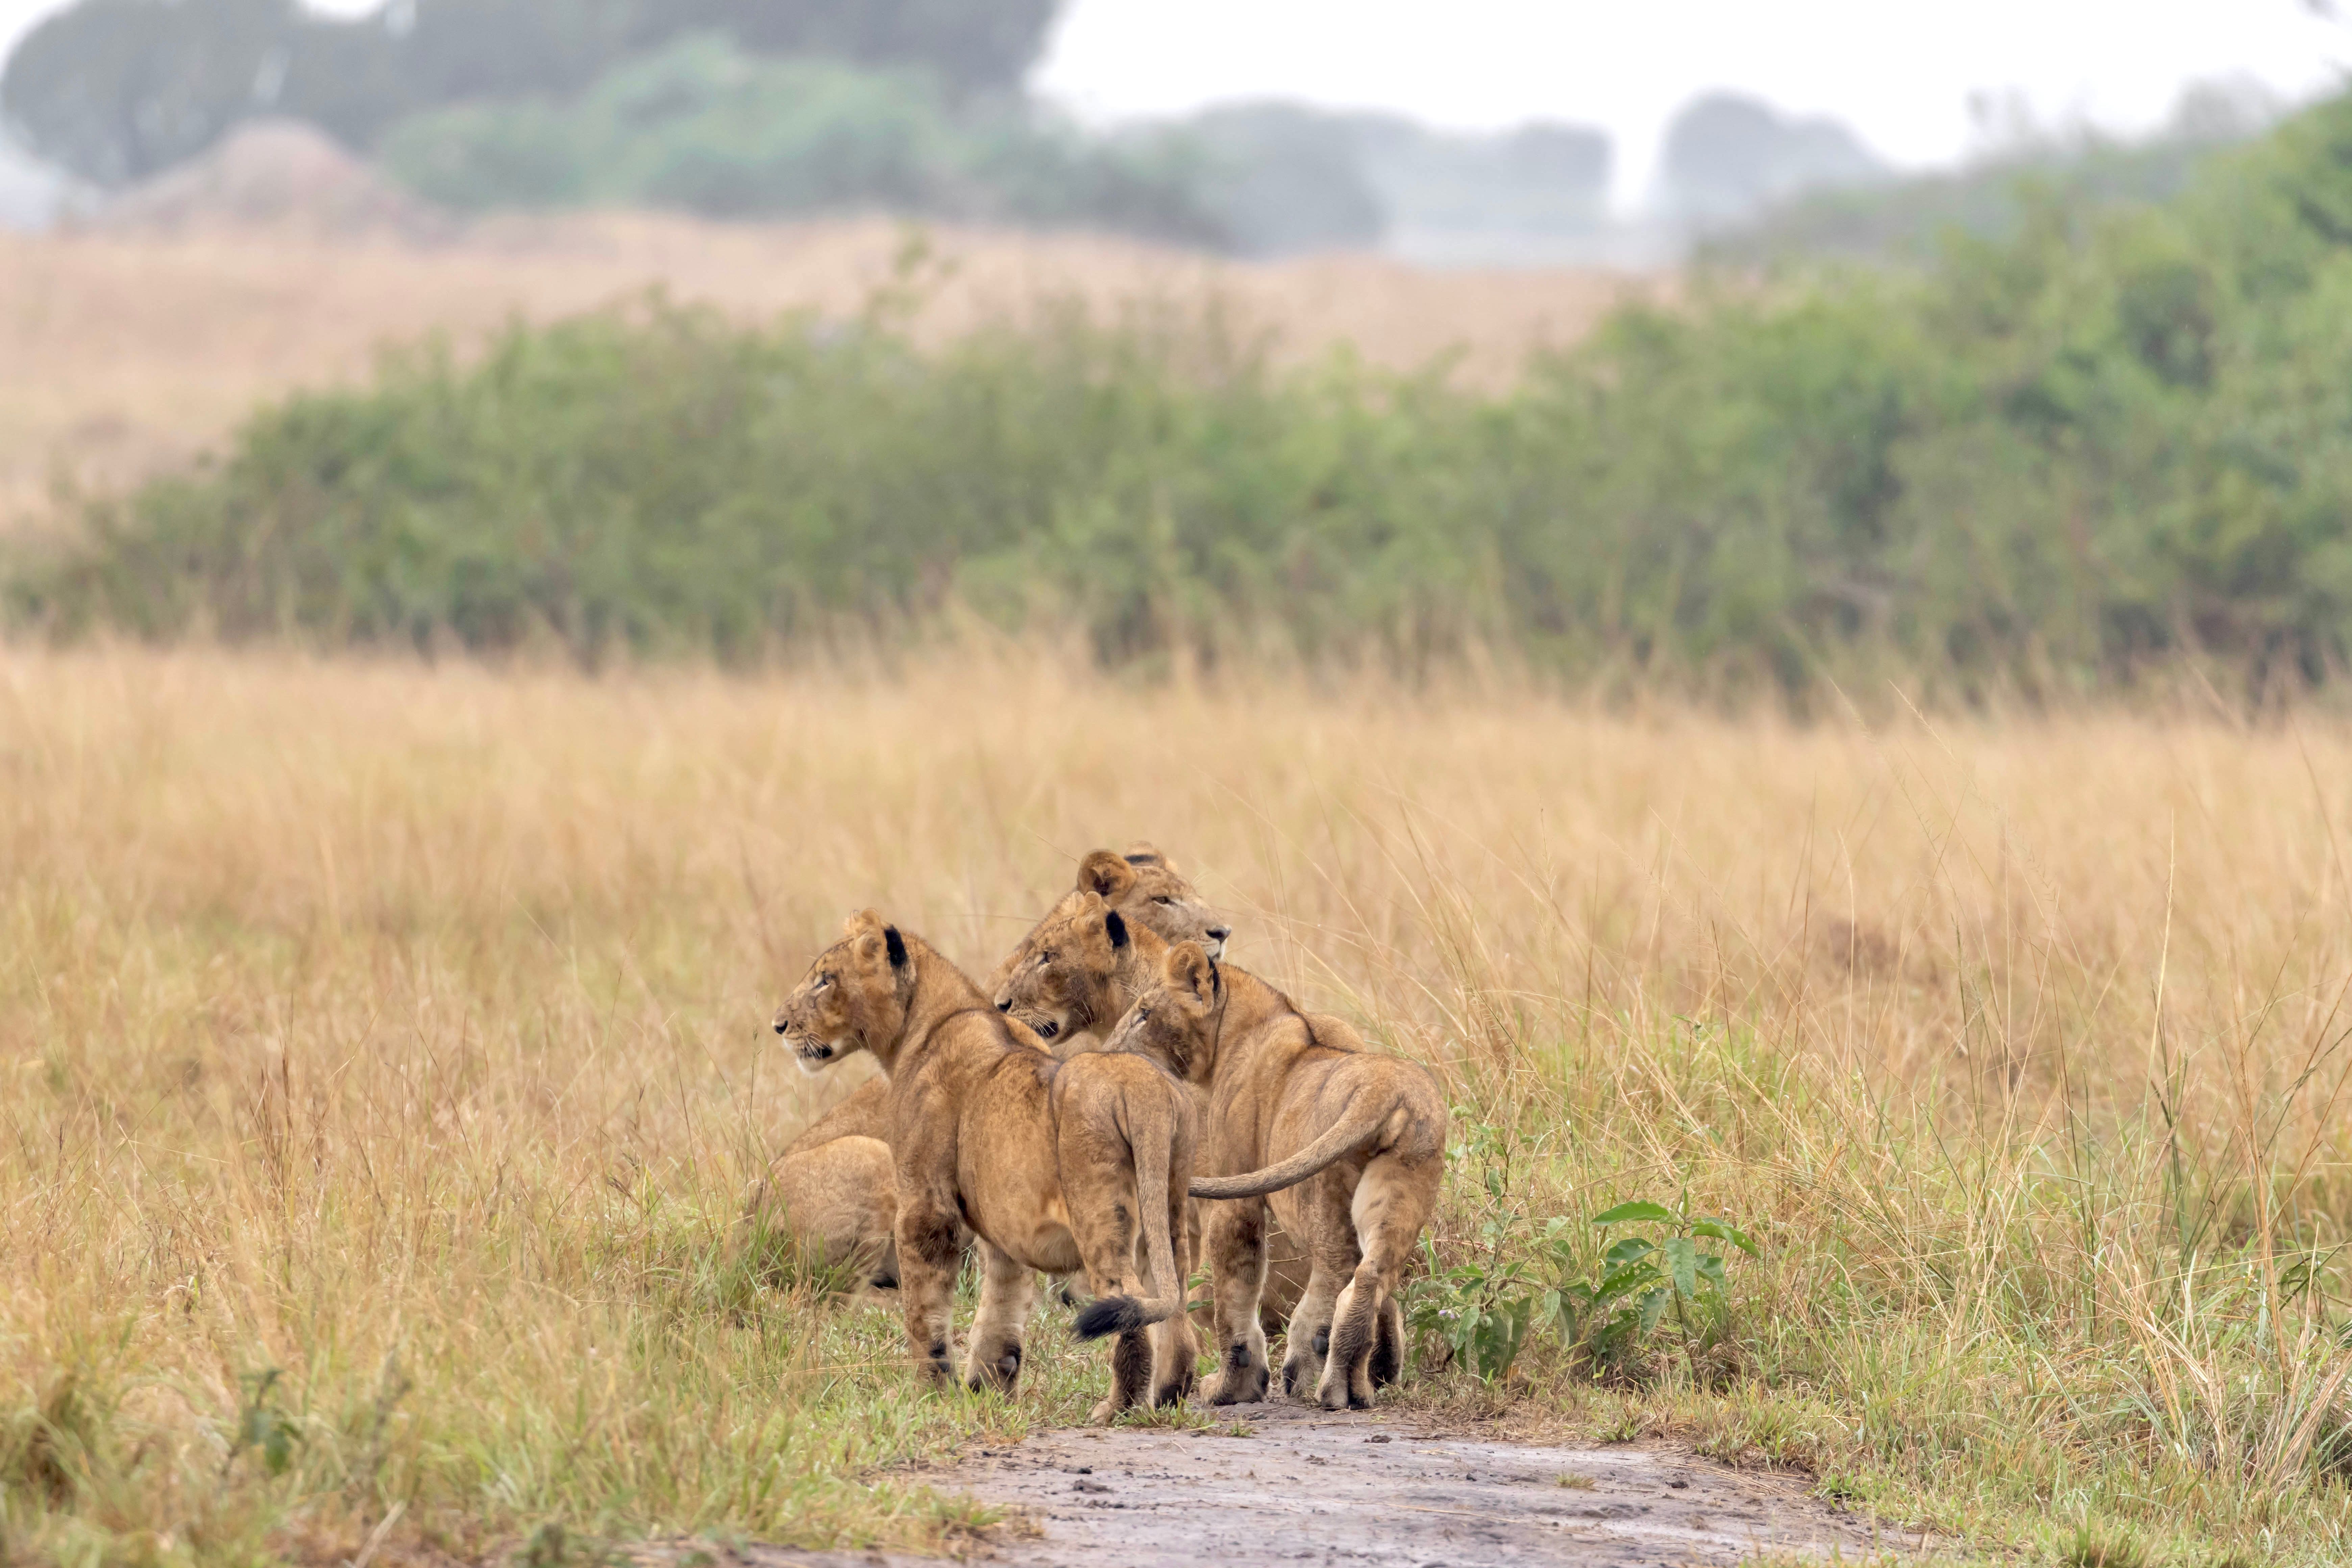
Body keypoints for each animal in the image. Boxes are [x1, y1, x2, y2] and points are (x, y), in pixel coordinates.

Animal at [771, 910, 1204, 1418]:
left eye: (825, 980)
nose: (779, 1025)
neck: (919, 1028)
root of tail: (1146, 1090)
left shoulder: (926, 1208)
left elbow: (925, 1314)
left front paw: (931, 1394)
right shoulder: (1004, 1226)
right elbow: (1000, 1313)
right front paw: (989, 1391)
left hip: (1102, 1219)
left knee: (1127, 1301)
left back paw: (1117, 1409)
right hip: (1168, 1216)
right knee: (1177, 1312)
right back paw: (1168, 1395)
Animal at [1006, 919, 1448, 1411]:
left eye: (1145, 1013)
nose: (1112, 1053)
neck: (1236, 1036)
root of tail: (1384, 1092)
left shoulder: (1239, 1194)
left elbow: (1234, 1286)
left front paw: (1233, 1386)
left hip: (1317, 1196)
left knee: (1336, 1272)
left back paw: (1319, 1375)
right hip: (1403, 1185)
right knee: (1371, 1276)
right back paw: (1354, 1383)